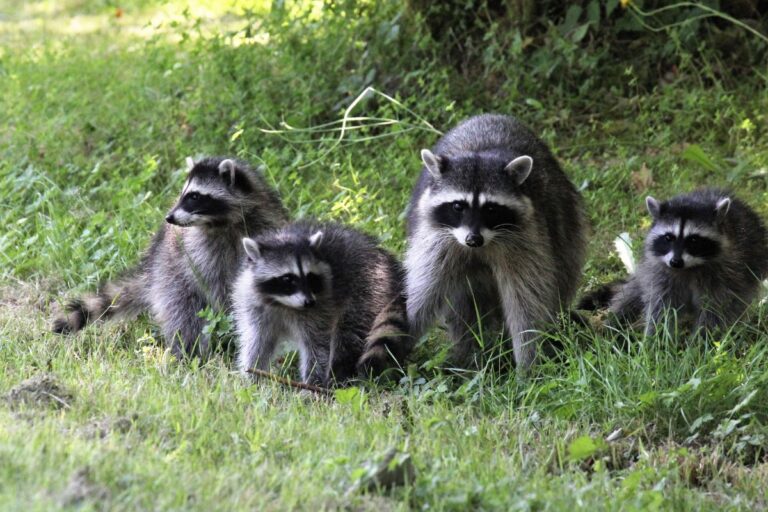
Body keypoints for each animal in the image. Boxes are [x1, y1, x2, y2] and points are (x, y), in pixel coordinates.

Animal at [53, 157, 288, 357]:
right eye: (182, 194)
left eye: (194, 196)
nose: (169, 217)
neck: (221, 223)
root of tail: (152, 271)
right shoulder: (199, 251)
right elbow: (213, 284)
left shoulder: (263, 223)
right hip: (172, 275)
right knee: (185, 314)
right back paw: (189, 352)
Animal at [233, 222, 409, 386]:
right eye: (288, 279)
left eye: (310, 277)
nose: (309, 302)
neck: (282, 303)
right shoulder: (254, 306)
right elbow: (257, 341)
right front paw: (252, 378)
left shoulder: (321, 308)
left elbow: (317, 346)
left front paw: (313, 382)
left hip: (368, 287)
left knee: (348, 334)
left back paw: (339, 374)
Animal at [405, 114, 588, 369]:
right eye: (458, 206)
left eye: (491, 209)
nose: (473, 239)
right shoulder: (437, 239)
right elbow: (424, 292)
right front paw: (396, 341)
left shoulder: (526, 238)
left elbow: (527, 300)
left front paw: (528, 361)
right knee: (462, 302)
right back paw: (468, 353)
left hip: (567, 219)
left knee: (562, 270)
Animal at [588, 189, 768, 335]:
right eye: (668, 238)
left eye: (694, 240)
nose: (675, 262)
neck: (688, 268)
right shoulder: (659, 272)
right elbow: (662, 307)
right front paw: (658, 340)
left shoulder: (728, 273)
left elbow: (717, 310)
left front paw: (700, 343)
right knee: (632, 293)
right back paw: (615, 322)